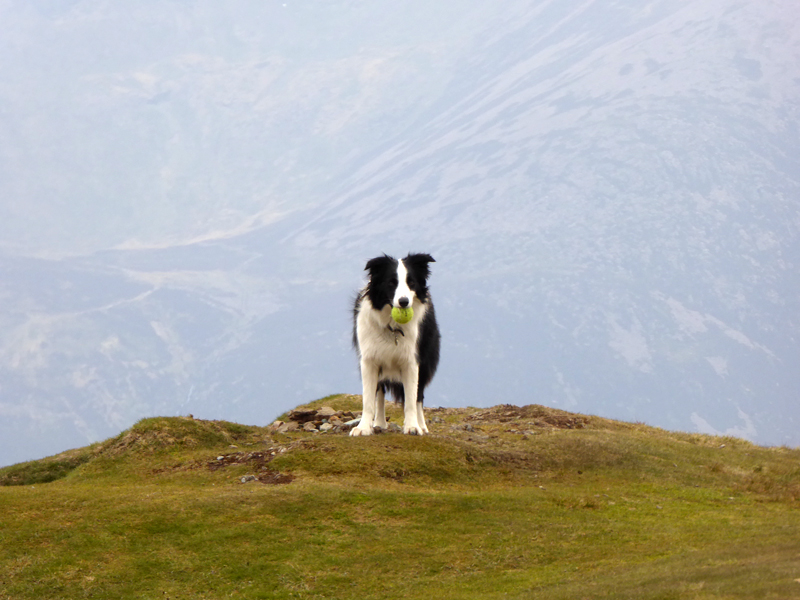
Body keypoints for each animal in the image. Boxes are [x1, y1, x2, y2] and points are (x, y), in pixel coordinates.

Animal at [352, 253, 440, 436]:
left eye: (411, 282)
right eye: (391, 283)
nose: (404, 302)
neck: (392, 326)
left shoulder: (412, 361)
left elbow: (411, 399)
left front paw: (412, 427)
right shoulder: (368, 360)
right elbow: (368, 399)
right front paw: (363, 428)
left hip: (425, 361)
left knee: (419, 396)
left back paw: (422, 426)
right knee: (380, 394)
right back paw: (379, 423)